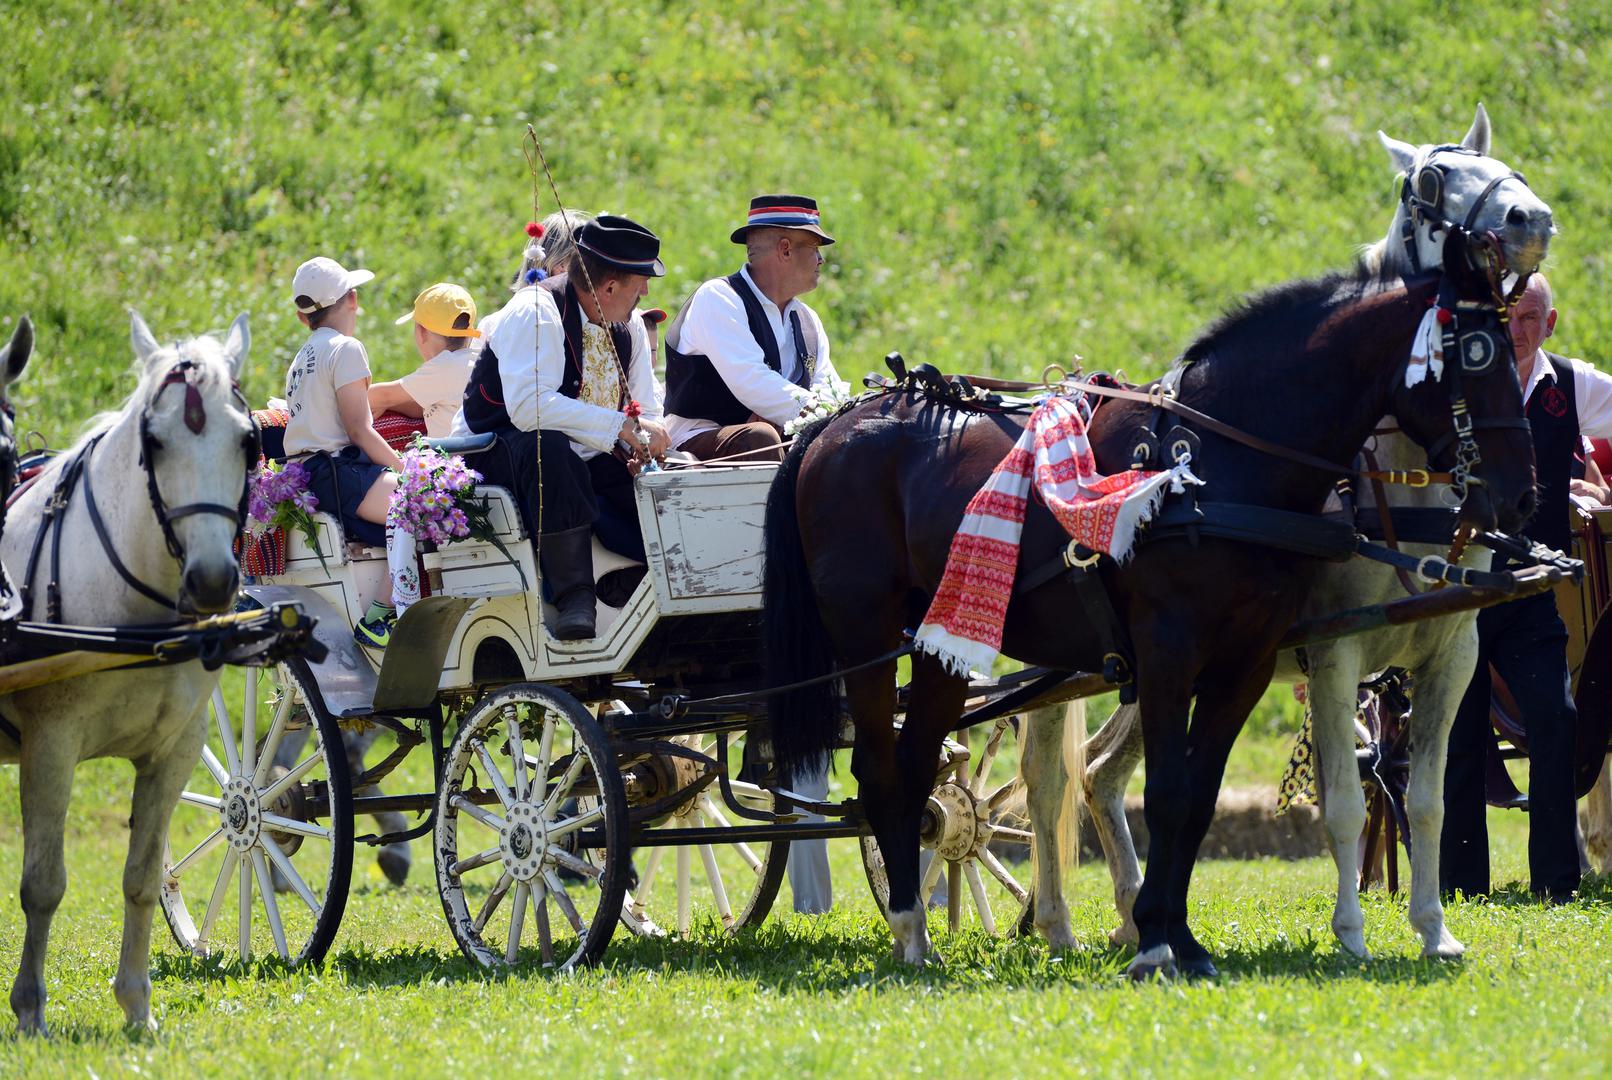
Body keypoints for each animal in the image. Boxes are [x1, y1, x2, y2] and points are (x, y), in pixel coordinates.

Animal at [1, 311, 253, 1031]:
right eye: (157, 443)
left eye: (247, 441)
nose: (212, 580)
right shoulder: (50, 745)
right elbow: (43, 883)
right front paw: (30, 1010)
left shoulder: (177, 749)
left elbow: (143, 878)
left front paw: (137, 1005)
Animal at [764, 241, 1534, 980]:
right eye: (1476, 353)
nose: (1520, 496)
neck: (1213, 462)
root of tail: (829, 426)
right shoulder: (1179, 651)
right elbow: (1170, 792)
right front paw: (1160, 944)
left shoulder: (1247, 664)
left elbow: (1199, 797)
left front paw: (1179, 939)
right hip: (865, 634)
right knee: (885, 769)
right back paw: (910, 921)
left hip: (945, 642)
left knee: (935, 764)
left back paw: (943, 930)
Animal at [1012, 103, 1553, 967]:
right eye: (1433, 181)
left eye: (1510, 171)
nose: (1528, 220)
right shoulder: (1334, 655)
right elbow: (1342, 803)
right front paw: (1353, 935)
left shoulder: (1452, 654)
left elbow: (1427, 800)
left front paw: (1434, 929)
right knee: (1046, 772)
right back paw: (1062, 921)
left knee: (1099, 770)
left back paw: (1129, 913)